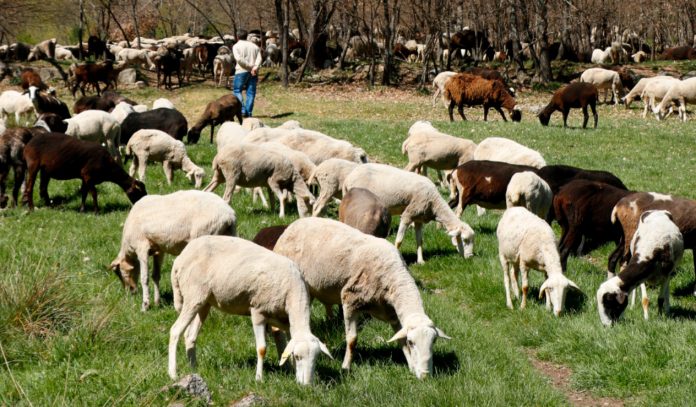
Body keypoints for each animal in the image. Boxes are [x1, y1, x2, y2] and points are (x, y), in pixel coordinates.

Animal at [169, 234, 332, 384]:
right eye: (298, 357)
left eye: (316, 359)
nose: (306, 385)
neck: (292, 292)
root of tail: (180, 259)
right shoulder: (258, 311)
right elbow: (262, 348)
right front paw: (259, 378)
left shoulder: (282, 320)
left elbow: (285, 344)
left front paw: (290, 371)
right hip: (193, 296)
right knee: (175, 331)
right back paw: (172, 374)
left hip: (204, 302)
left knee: (190, 336)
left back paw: (193, 369)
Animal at [272, 218, 452, 380]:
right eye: (412, 342)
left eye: (433, 342)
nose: (426, 376)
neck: (392, 275)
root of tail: (293, 225)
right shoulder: (350, 299)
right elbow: (352, 340)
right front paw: (345, 367)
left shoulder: (392, 314)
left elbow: (399, 339)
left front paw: (411, 367)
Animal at [342, 163, 474, 264]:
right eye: (465, 239)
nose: (470, 258)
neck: (434, 203)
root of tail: (348, 178)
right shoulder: (407, 215)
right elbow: (399, 240)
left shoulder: (419, 219)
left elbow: (420, 241)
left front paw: (421, 261)